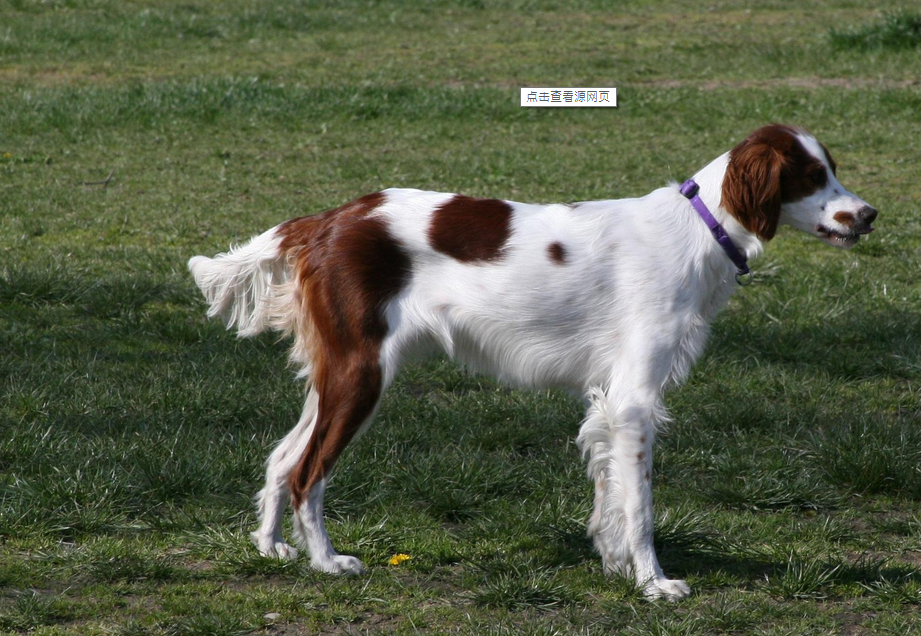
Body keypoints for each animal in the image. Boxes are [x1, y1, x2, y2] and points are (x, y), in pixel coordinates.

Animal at [189, 124, 876, 600]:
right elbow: (641, 505)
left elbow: (609, 496)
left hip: (339, 377)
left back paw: (270, 548)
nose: (870, 213)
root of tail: (328, 219)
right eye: (812, 176)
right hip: (361, 377)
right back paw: (328, 563)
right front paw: (654, 584)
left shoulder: (608, 402)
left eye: (833, 171)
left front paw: (614, 564)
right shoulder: (634, 401)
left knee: (283, 458)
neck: (698, 229)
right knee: (309, 472)